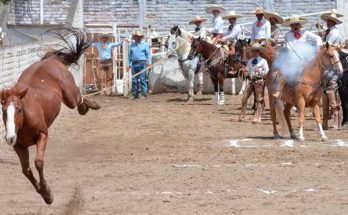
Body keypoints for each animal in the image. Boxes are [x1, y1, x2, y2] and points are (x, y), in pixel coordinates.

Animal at [0, 27, 100, 204]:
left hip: (69, 95)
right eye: (3, 111)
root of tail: (53, 60)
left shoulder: (43, 134)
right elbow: (26, 170)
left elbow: (38, 162)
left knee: (78, 99)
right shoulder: (19, 146)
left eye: (19, 109)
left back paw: (92, 105)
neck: (25, 122)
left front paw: (47, 192)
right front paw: (43, 193)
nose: (9, 137)